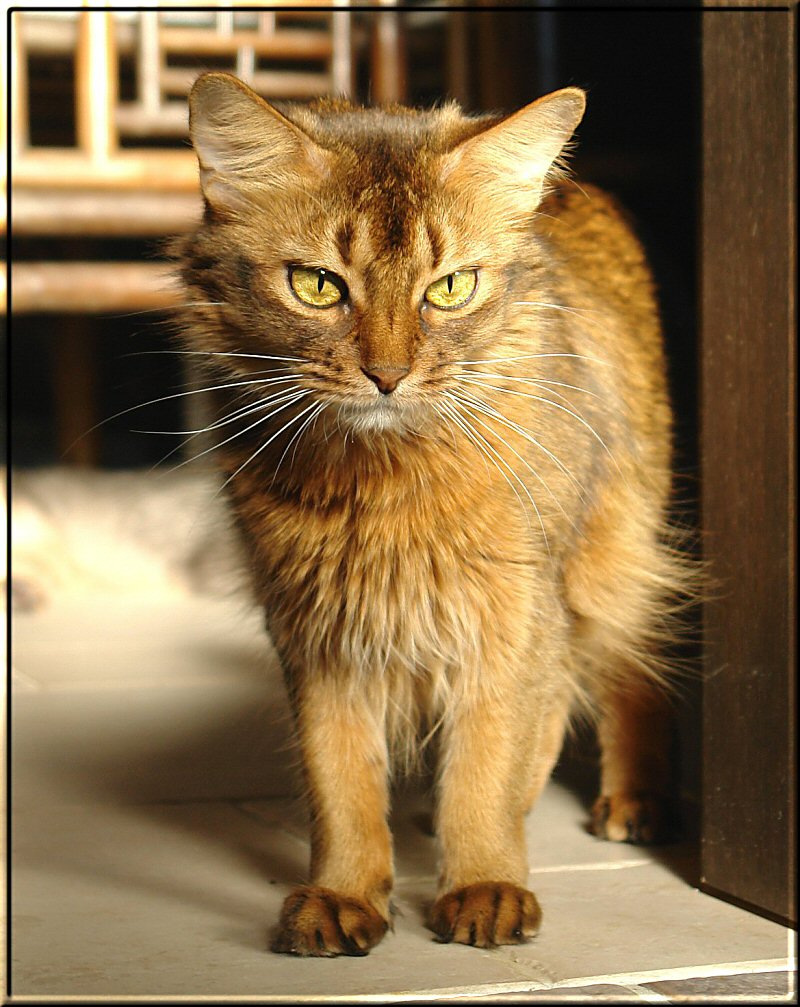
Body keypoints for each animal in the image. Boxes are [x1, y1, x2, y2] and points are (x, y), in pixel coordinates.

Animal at [171, 73, 693, 958]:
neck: (384, 484)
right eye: (317, 285)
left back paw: (634, 799)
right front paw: (344, 893)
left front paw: (485, 880)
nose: (387, 374)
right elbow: (339, 776)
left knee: (625, 664)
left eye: (450, 288)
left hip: (613, 544)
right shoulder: (316, 624)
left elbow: (490, 761)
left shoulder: (514, 613)